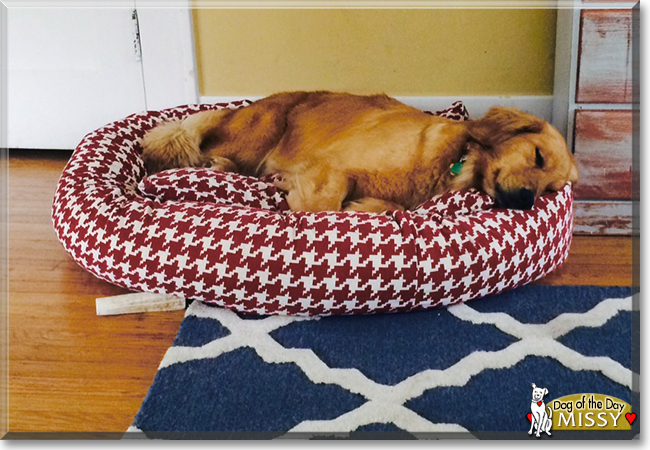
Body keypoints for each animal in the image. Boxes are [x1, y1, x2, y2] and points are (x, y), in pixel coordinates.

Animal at [139, 91, 576, 213]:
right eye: (538, 157)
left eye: (552, 189)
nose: (526, 201)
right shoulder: (334, 164)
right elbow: (325, 201)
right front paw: (298, 197)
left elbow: (393, 207)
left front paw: (366, 206)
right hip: (262, 130)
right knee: (207, 147)